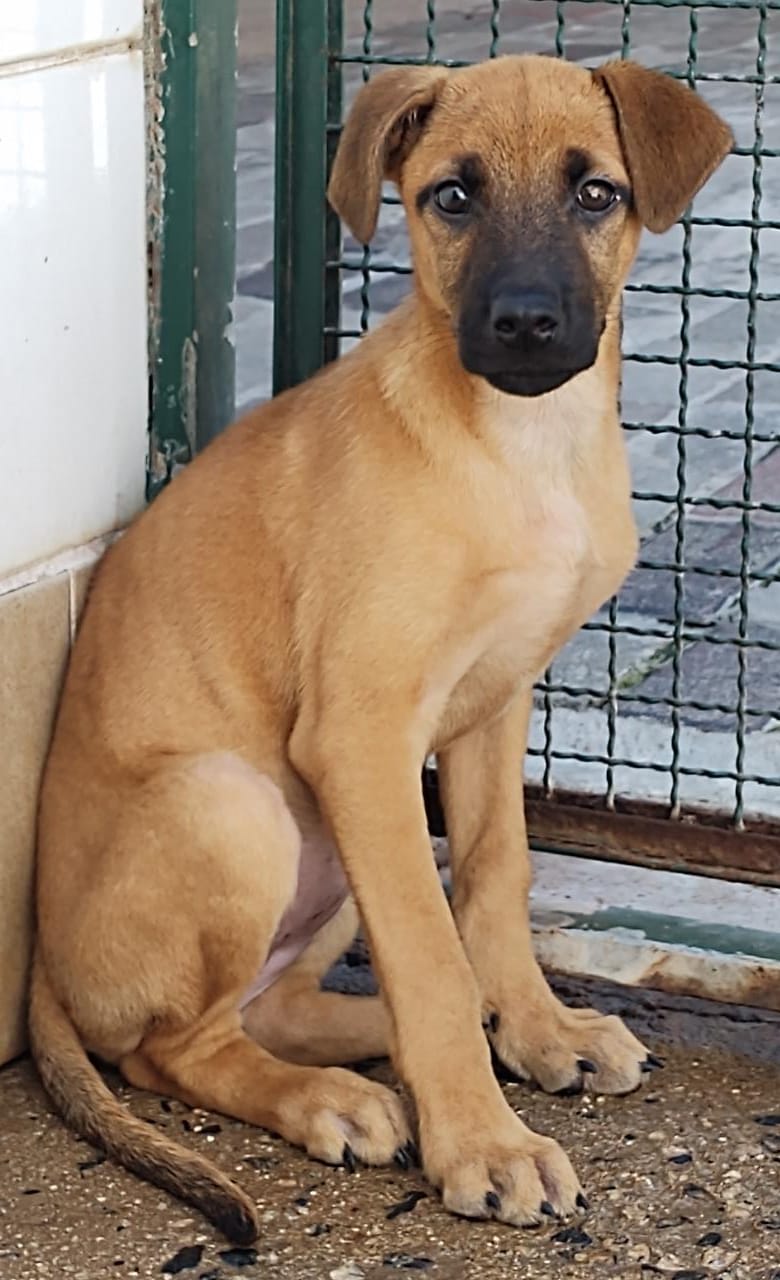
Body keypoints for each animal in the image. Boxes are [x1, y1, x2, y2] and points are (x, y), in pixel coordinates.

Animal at [27, 55, 727, 1244]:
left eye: (598, 194)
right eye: (452, 197)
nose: (525, 324)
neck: (521, 445)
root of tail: (36, 954)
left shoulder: (495, 706)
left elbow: (492, 881)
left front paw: (537, 1031)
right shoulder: (362, 735)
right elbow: (430, 951)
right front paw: (485, 1143)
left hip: (329, 852)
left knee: (273, 1003)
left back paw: (395, 1042)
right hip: (239, 802)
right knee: (171, 1046)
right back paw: (334, 1097)